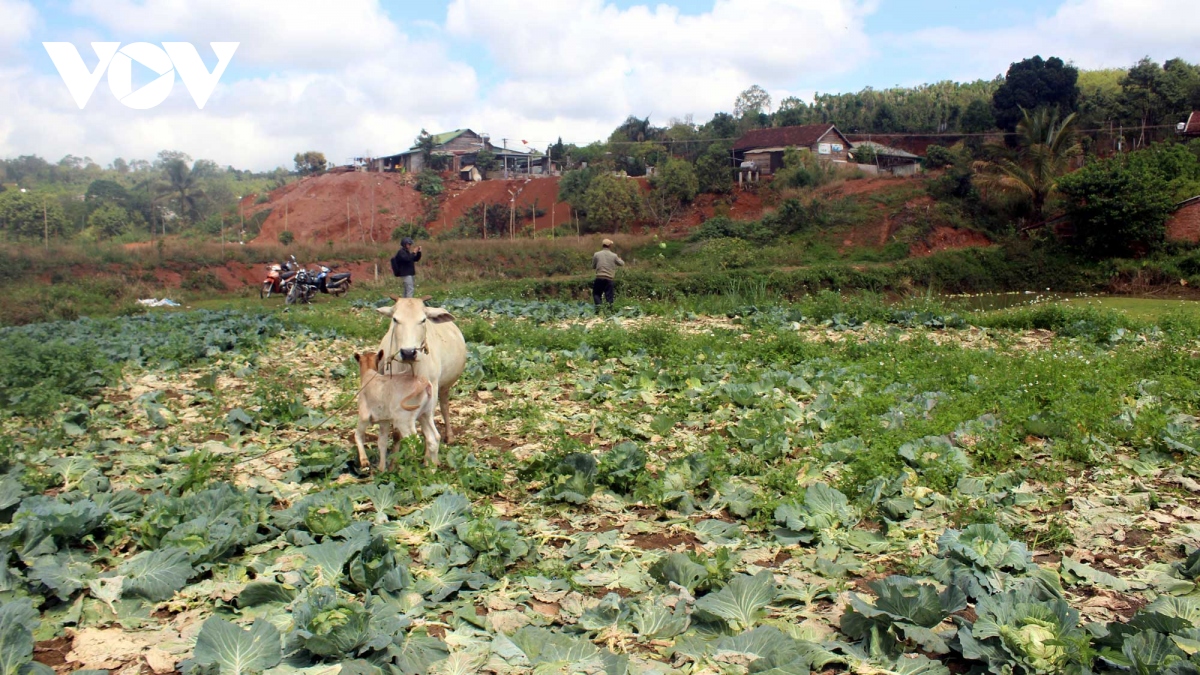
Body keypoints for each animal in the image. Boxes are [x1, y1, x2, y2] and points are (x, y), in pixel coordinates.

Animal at [376, 296, 465, 458]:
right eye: (395, 319)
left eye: (423, 320)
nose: (408, 352)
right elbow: (397, 432)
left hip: (443, 388)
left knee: (444, 407)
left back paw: (449, 436)